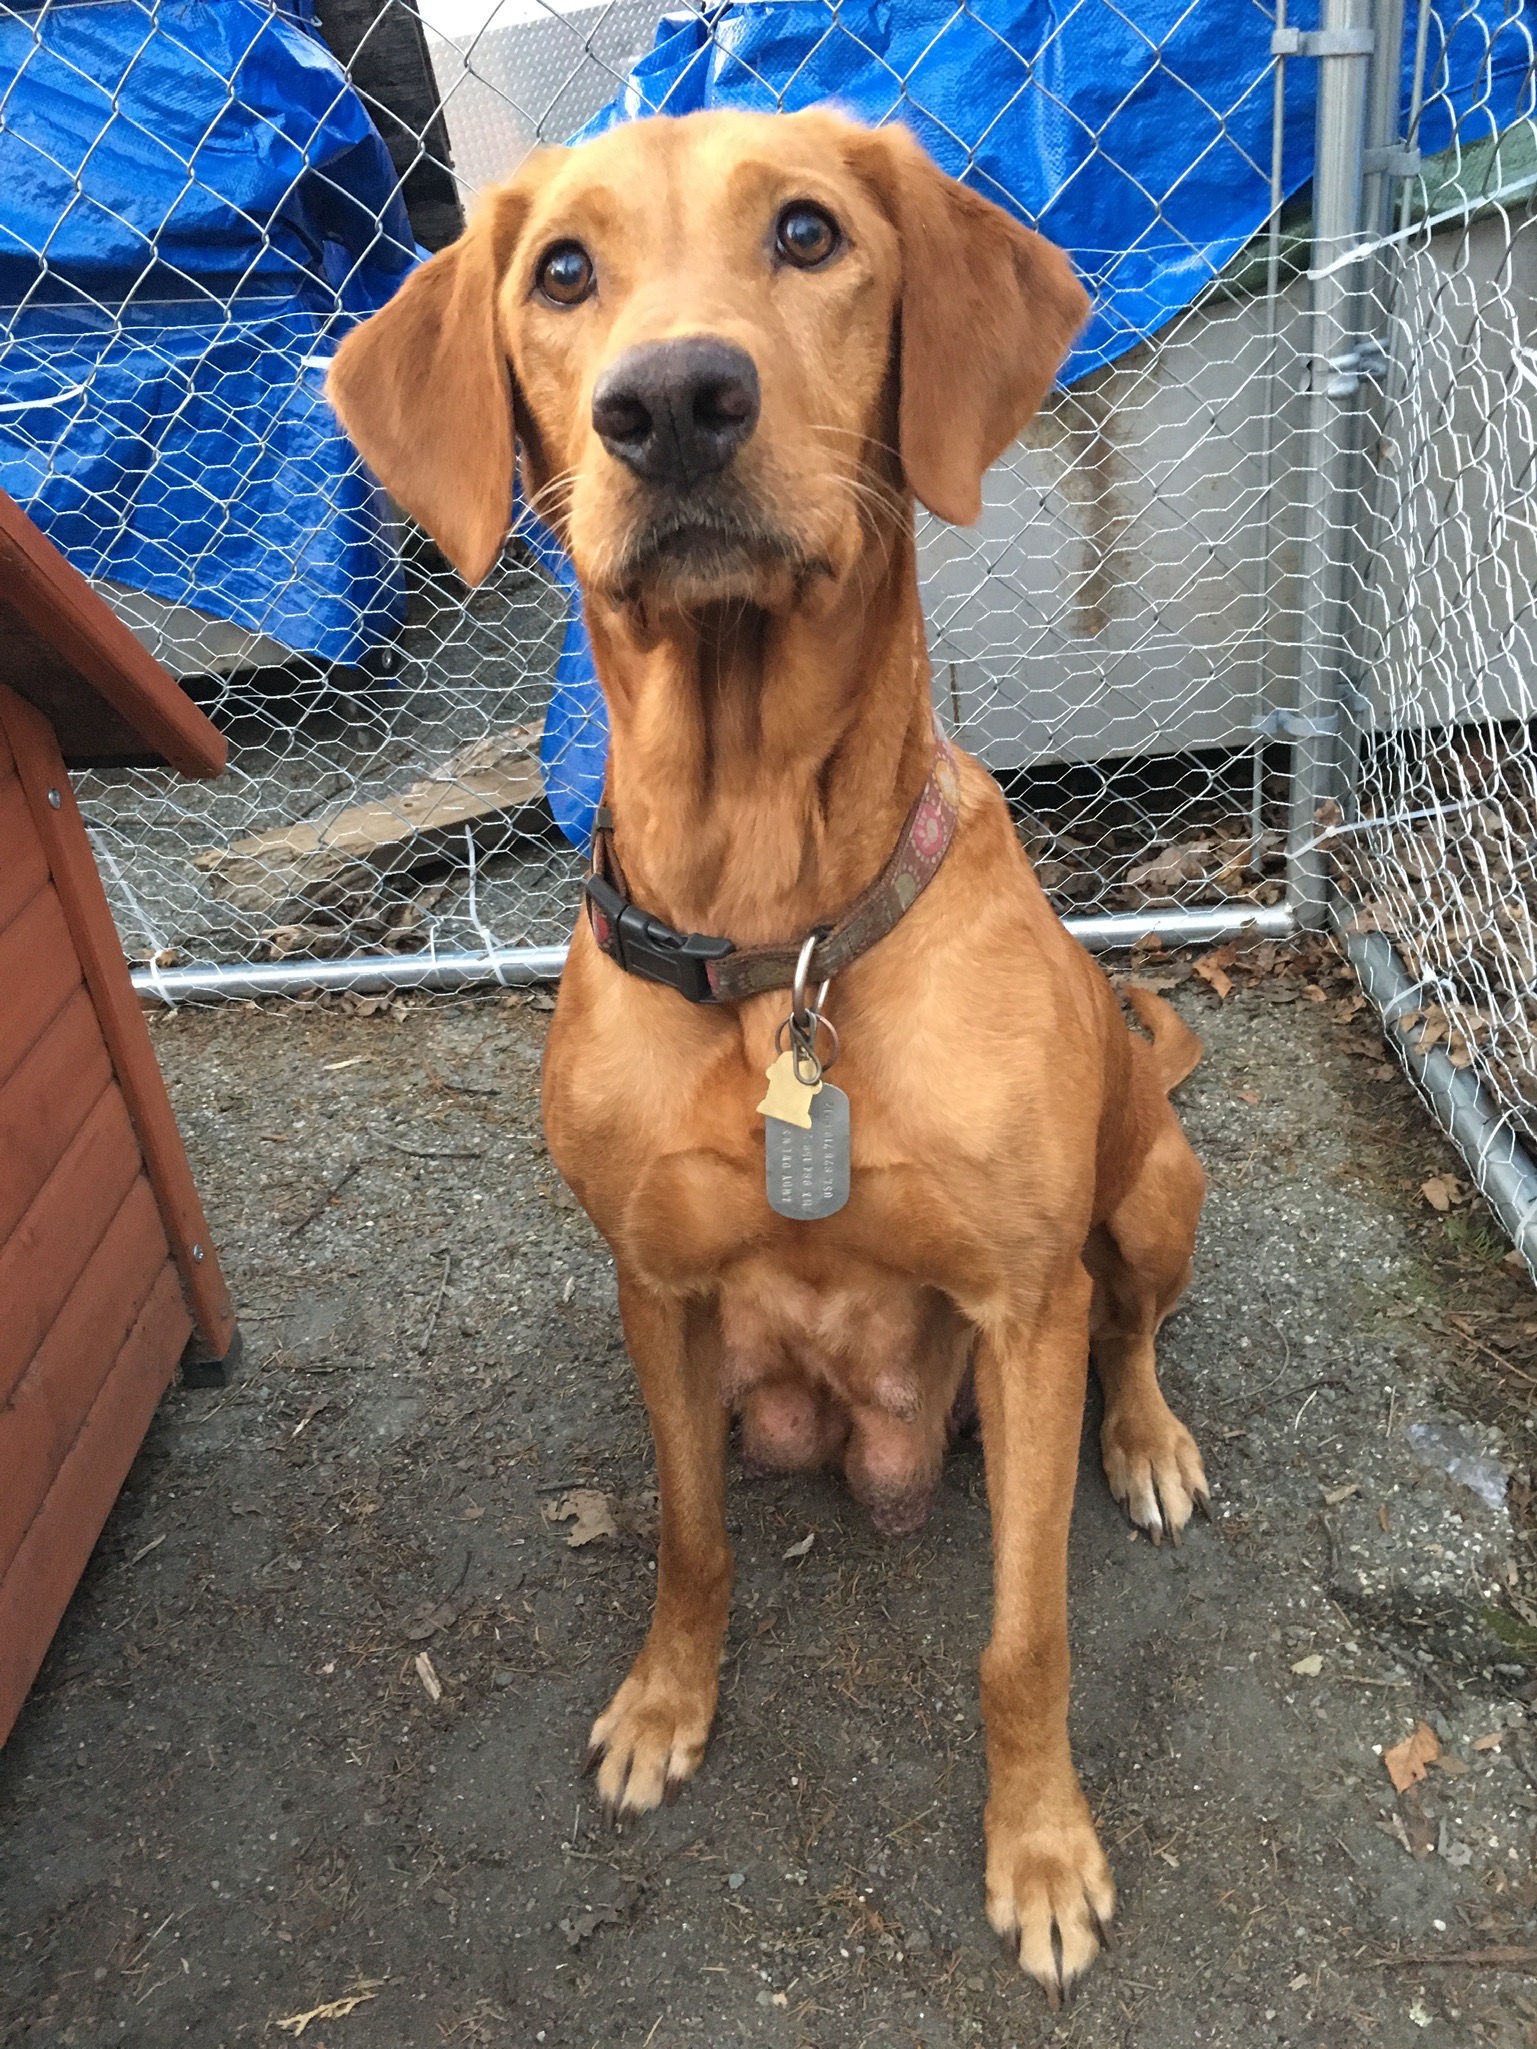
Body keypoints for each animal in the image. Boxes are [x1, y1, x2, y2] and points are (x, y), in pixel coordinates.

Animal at [331, 112, 1213, 1999]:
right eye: (561, 271)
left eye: (807, 233)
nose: (671, 402)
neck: (775, 932)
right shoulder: (656, 1286)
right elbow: (687, 1533)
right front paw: (668, 1700)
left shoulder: (1021, 1306)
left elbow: (1022, 1638)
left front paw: (1040, 1847)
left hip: (1153, 1190)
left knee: (1133, 1327)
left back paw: (1149, 1439)